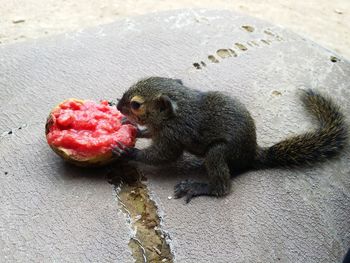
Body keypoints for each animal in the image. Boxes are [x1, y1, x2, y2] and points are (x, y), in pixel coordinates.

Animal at [114, 77, 348, 204]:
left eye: (136, 104)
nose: (117, 106)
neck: (176, 112)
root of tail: (252, 154)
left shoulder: (174, 134)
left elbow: (164, 155)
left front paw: (129, 152)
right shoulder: (160, 129)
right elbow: (149, 133)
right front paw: (132, 128)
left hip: (219, 153)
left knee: (222, 185)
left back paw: (199, 187)